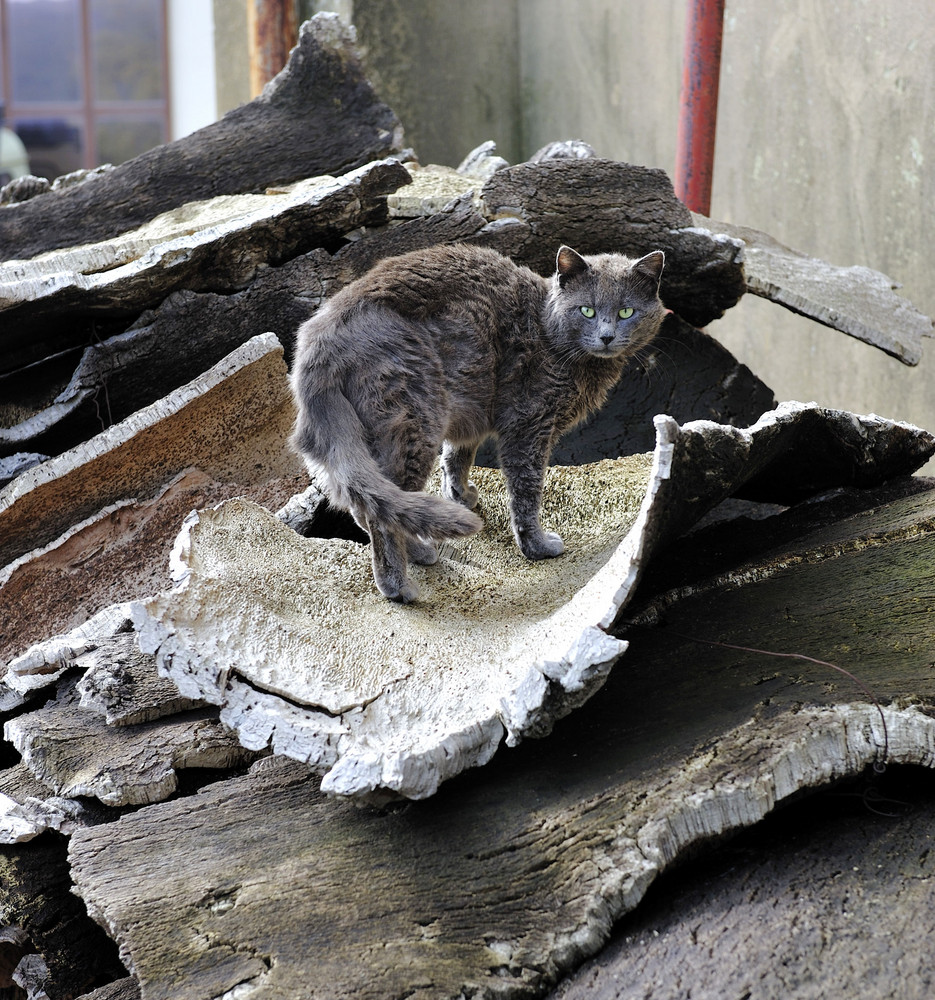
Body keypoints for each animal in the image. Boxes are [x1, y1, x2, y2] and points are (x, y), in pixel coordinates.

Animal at [290, 242, 664, 600]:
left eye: (626, 312)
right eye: (587, 310)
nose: (607, 336)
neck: (549, 334)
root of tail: (318, 340)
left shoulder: (471, 399)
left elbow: (457, 456)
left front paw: (460, 495)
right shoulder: (527, 424)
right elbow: (526, 492)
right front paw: (537, 545)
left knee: (367, 502)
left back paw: (418, 549)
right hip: (414, 416)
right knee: (381, 511)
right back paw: (398, 585)